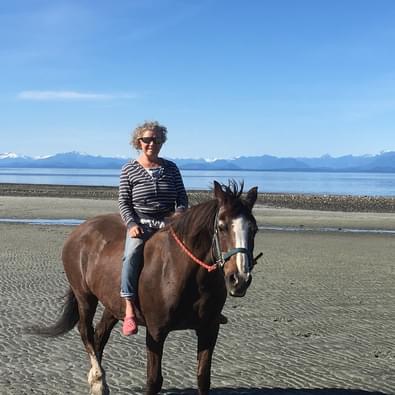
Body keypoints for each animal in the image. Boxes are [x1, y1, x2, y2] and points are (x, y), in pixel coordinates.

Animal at [31, 181, 260, 394]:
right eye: (221, 226)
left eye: (254, 229)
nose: (239, 279)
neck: (185, 275)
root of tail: (81, 230)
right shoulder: (156, 331)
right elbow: (153, 381)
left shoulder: (208, 330)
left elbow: (203, 378)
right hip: (85, 297)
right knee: (86, 332)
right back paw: (97, 379)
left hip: (113, 305)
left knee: (99, 335)